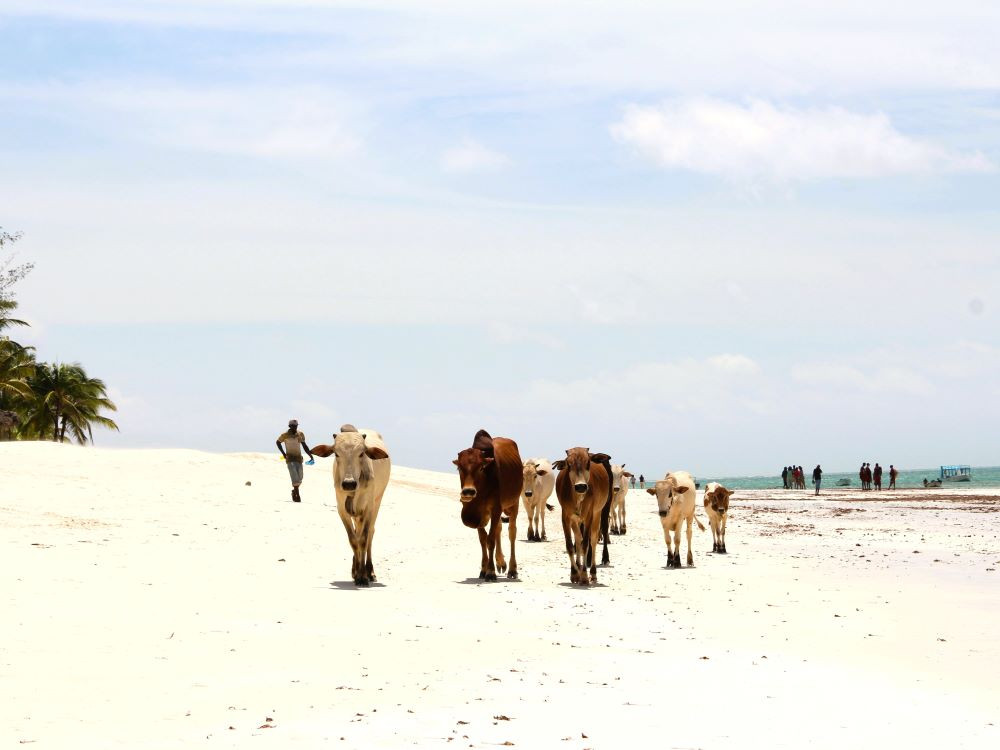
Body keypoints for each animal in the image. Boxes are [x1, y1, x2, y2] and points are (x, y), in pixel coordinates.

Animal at [454, 428, 524, 580]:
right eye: (460, 468)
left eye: (481, 468)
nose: (468, 491)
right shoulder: (479, 516)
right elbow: (483, 539)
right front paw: (484, 569)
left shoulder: (496, 508)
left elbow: (490, 540)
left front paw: (490, 571)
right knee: (498, 529)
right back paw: (501, 562)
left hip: (514, 505)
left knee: (512, 532)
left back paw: (512, 569)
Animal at [556, 446, 608, 588]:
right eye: (568, 464)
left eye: (588, 463)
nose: (580, 486)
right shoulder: (566, 516)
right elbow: (570, 545)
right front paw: (574, 574)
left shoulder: (589, 515)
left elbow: (586, 544)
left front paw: (584, 576)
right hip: (575, 520)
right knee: (578, 538)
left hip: (598, 514)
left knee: (593, 540)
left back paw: (593, 574)